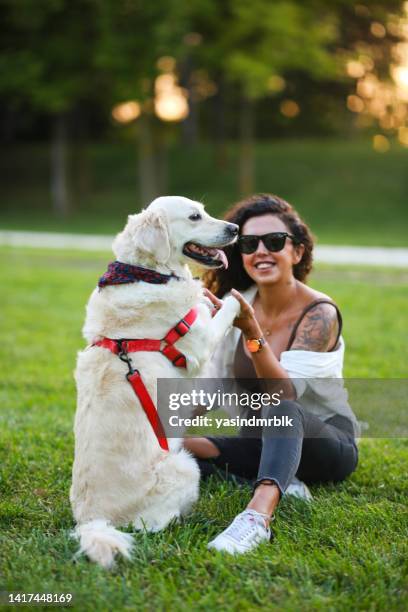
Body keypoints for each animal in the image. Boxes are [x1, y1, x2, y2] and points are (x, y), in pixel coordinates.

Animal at [70, 196, 241, 568]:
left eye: (205, 210)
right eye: (194, 217)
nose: (235, 229)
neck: (148, 273)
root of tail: (93, 521)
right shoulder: (201, 343)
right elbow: (228, 305)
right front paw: (238, 297)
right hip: (186, 466)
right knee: (156, 525)